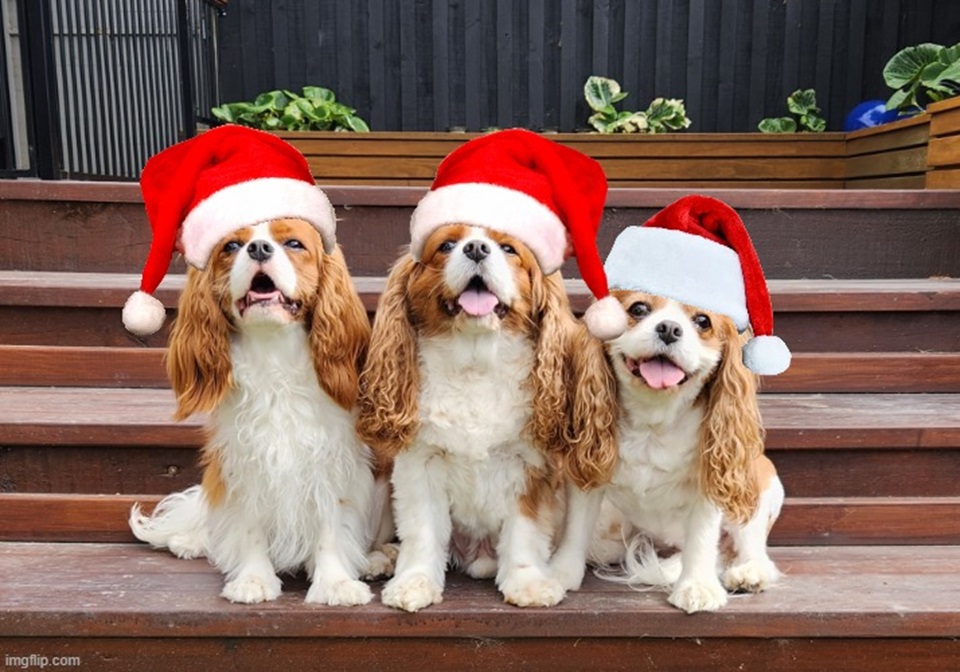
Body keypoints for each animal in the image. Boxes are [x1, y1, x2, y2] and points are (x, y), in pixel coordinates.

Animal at [127, 219, 390, 604]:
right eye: (232, 246)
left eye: (294, 244)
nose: (259, 249)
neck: (274, 352)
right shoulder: (244, 460)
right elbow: (249, 524)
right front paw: (253, 579)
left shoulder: (331, 458)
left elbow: (330, 525)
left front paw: (335, 582)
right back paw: (191, 541)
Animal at [354, 223, 616, 612]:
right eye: (447, 245)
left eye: (509, 249)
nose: (476, 248)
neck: (474, 363)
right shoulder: (419, 464)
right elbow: (422, 532)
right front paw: (414, 582)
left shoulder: (531, 467)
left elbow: (524, 532)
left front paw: (527, 584)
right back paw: (382, 556)